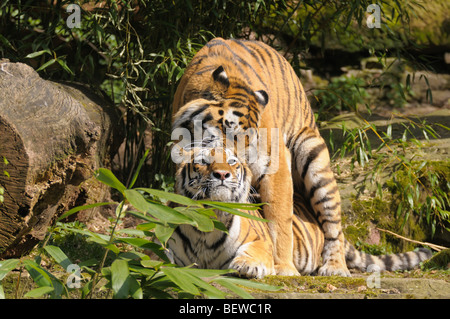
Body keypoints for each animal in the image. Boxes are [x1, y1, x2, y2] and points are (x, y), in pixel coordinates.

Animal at [169, 148, 432, 280]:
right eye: (203, 161)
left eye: (232, 162)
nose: (223, 174)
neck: (209, 221)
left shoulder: (261, 241)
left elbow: (254, 252)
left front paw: (248, 265)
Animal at [171, 38, 348, 278]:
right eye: (231, 133)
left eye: (250, 140)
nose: (236, 167)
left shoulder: (276, 165)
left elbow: (279, 221)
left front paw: (283, 267)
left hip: (313, 157)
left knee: (333, 224)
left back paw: (336, 267)